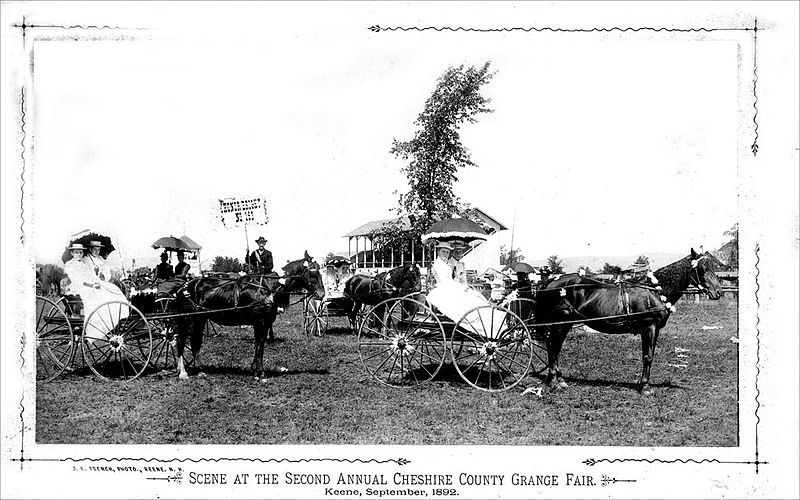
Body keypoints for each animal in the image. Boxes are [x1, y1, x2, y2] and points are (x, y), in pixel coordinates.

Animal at [175, 252, 324, 380]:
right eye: (313, 272)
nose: (321, 294)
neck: (268, 288)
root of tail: (185, 286)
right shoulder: (260, 321)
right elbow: (260, 345)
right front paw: (260, 373)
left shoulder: (265, 323)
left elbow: (259, 344)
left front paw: (255, 369)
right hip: (188, 319)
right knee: (182, 341)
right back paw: (183, 372)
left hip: (200, 319)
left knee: (195, 342)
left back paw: (199, 370)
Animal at [536, 249, 720, 394]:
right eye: (702, 269)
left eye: (714, 267)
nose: (718, 292)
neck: (654, 291)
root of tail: (551, 282)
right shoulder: (648, 327)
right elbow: (647, 356)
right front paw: (645, 387)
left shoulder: (655, 329)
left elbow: (650, 355)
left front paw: (643, 384)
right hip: (561, 324)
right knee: (554, 347)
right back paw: (555, 381)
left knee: (554, 347)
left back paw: (558, 379)